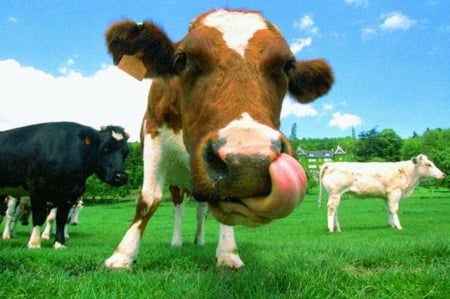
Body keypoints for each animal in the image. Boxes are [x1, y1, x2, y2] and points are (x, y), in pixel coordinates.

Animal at [0, 123, 130, 250]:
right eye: (105, 149)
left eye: (125, 152)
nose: (121, 176)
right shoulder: (38, 189)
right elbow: (40, 216)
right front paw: (35, 243)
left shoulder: (70, 193)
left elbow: (61, 219)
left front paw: (59, 243)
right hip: (13, 196)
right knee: (10, 215)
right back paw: (7, 235)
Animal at [103, 8, 332, 270]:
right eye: (181, 59)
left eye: (288, 65)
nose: (248, 164)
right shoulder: (153, 132)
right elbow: (148, 200)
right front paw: (122, 255)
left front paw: (228, 253)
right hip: (177, 181)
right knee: (178, 207)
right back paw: (177, 242)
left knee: (202, 210)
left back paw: (199, 241)